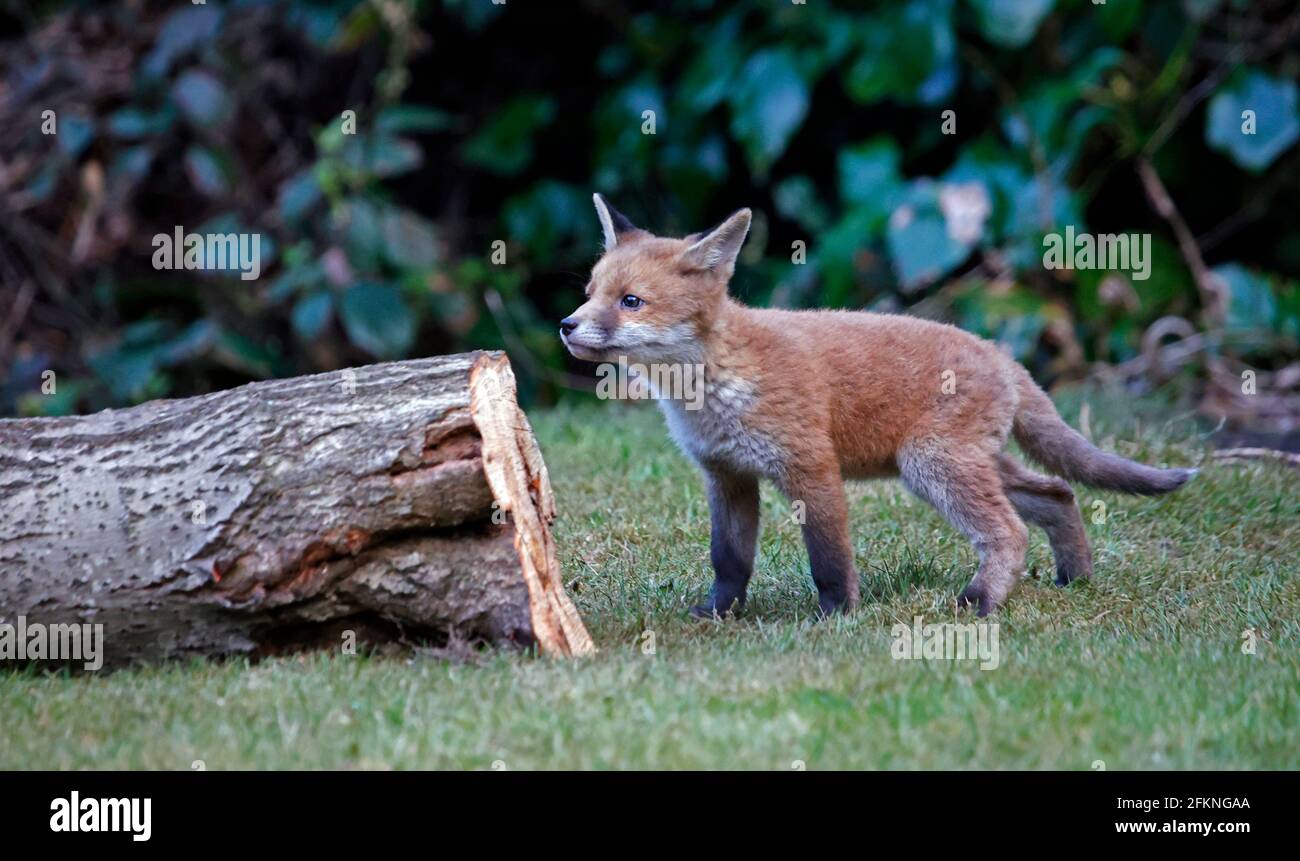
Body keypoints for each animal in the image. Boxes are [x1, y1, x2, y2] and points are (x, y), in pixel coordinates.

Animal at [560, 194, 1196, 618]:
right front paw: (716, 615)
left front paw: (838, 616)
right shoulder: (727, 475)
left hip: (932, 465)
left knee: (1011, 530)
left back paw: (982, 600)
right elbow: (729, 560)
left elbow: (830, 557)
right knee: (1059, 493)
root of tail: (999, 352)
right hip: (969, 464)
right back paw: (1077, 580)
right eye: (589, 293)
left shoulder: (811, 469)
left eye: (631, 302)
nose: (566, 325)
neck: (712, 387)